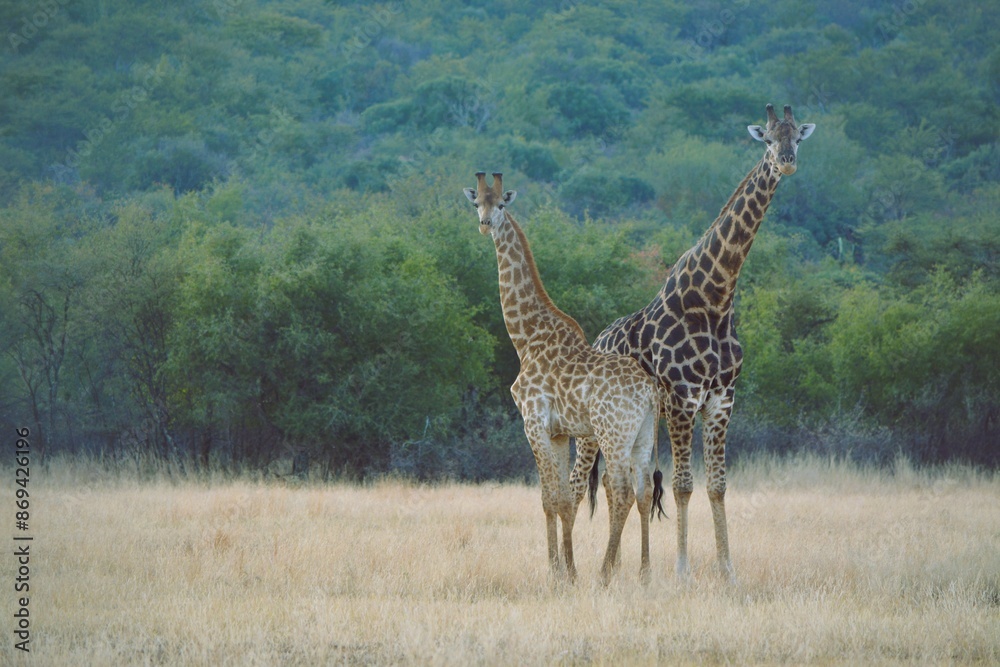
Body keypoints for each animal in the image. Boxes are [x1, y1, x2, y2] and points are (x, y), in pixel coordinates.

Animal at [464, 171, 664, 583]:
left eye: (501, 204)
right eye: (476, 203)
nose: (485, 224)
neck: (525, 339)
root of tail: (651, 391)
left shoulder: (533, 422)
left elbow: (549, 498)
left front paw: (558, 573)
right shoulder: (557, 432)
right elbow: (562, 501)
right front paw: (565, 570)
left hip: (612, 433)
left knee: (620, 491)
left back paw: (604, 574)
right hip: (641, 436)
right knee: (641, 492)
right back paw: (643, 572)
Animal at [575, 104, 815, 581]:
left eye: (798, 136)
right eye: (766, 139)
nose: (786, 162)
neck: (716, 299)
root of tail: (599, 338)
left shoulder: (722, 399)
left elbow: (717, 486)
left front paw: (727, 571)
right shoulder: (684, 399)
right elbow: (684, 485)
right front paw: (682, 571)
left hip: (640, 426)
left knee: (628, 483)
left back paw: (628, 568)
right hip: (596, 425)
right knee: (581, 483)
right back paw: (572, 569)